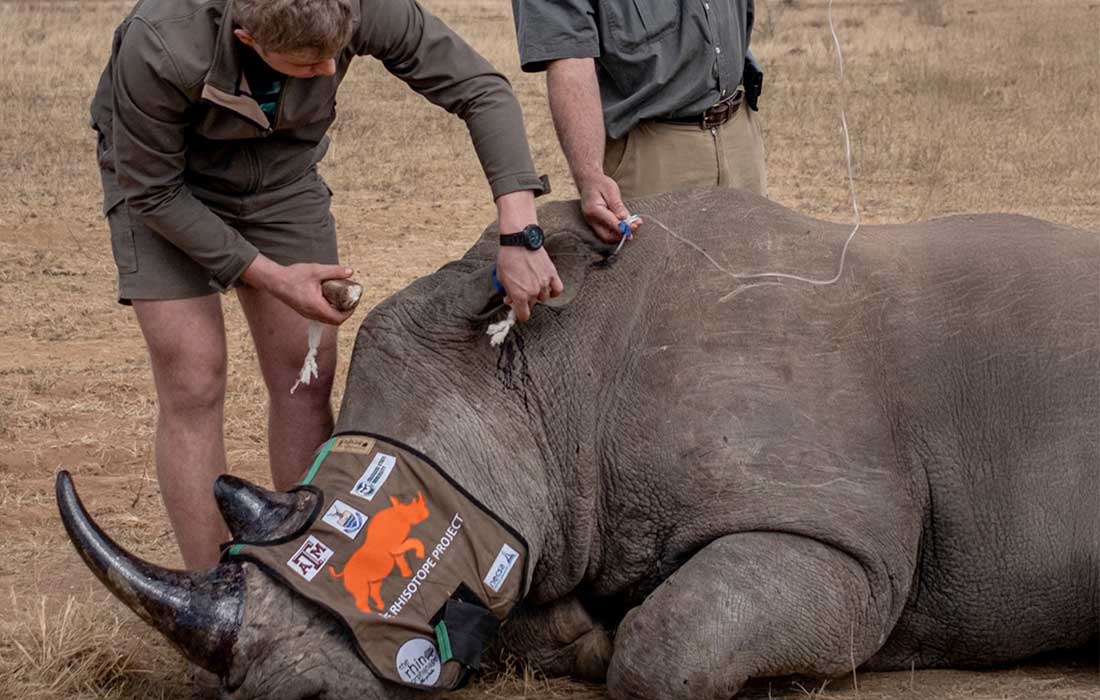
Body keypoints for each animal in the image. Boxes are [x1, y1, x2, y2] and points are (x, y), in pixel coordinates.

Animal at [58, 187, 1099, 699]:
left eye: (362, 530)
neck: (551, 379)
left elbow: (665, 646)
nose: (278, 694)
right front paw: (581, 638)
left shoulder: (847, 537)